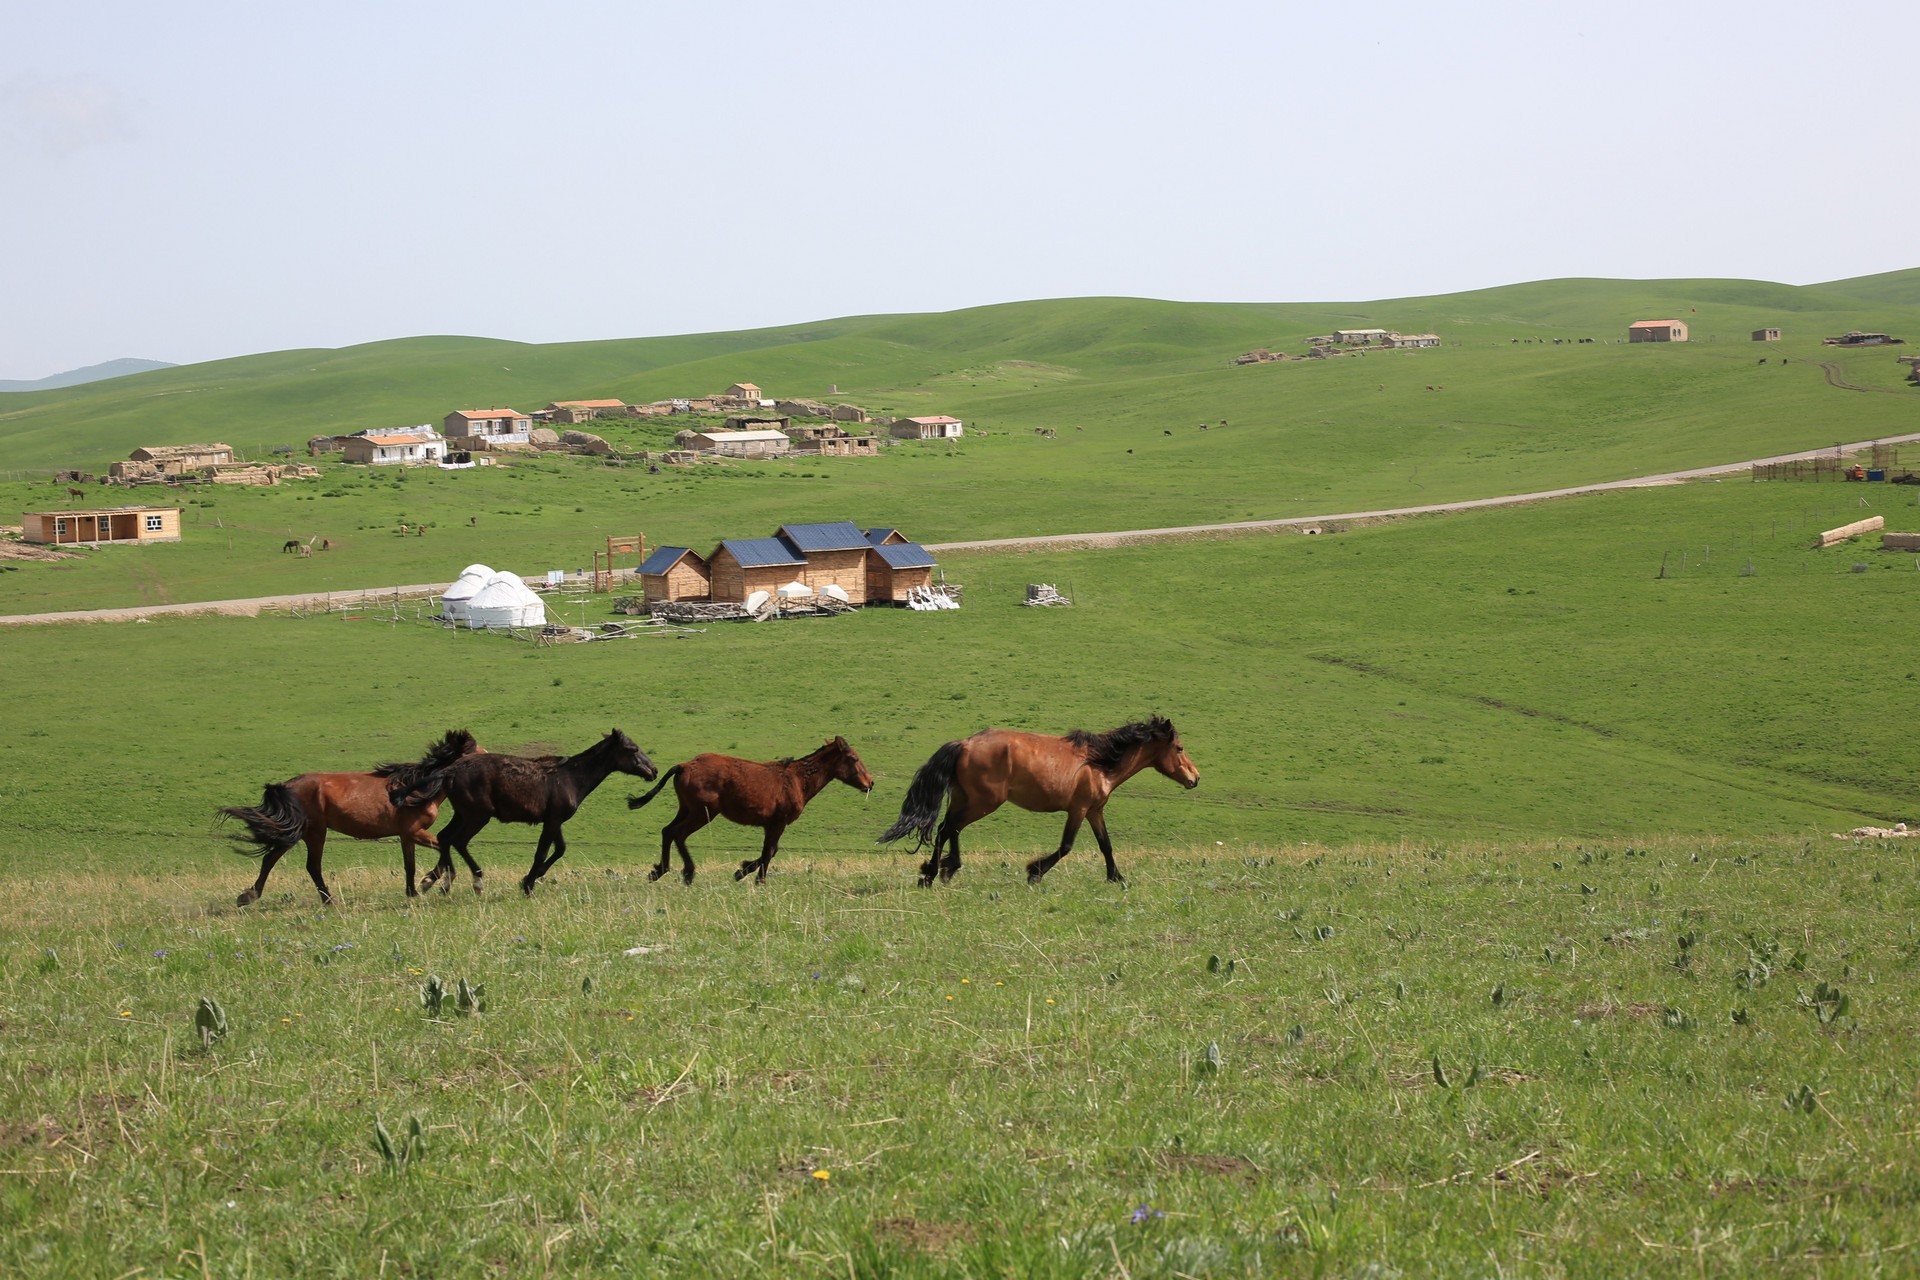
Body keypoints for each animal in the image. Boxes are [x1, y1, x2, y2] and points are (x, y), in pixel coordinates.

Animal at [219, 729, 483, 909]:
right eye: (478, 752)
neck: (415, 788)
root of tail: (287, 786)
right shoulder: (414, 832)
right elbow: (442, 848)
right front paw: (428, 882)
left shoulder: (407, 836)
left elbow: (411, 864)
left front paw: (415, 890)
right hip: (315, 832)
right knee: (311, 866)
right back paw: (329, 901)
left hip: (301, 832)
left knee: (270, 859)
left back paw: (248, 896)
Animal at [389, 725, 660, 898]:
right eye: (632, 749)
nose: (654, 771)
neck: (571, 777)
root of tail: (449, 771)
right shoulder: (552, 820)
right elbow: (542, 853)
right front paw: (528, 885)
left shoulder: (554, 820)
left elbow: (560, 850)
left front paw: (533, 877)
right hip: (478, 815)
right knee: (458, 840)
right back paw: (472, 881)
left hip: (463, 813)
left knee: (445, 837)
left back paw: (437, 882)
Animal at [625, 736, 875, 886]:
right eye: (854, 759)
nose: (870, 783)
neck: (796, 779)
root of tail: (685, 765)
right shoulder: (778, 823)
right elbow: (769, 852)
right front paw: (757, 879)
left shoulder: (771, 825)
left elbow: (770, 851)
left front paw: (743, 870)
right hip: (703, 813)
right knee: (678, 833)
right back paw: (688, 872)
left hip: (687, 809)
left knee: (667, 831)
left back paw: (660, 870)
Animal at [875, 721, 1198, 890]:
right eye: (1179, 748)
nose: (1195, 778)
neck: (1100, 763)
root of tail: (965, 743)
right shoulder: (1078, 810)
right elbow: (1066, 846)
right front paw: (1034, 871)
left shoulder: (1095, 811)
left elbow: (1106, 845)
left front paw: (1116, 878)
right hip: (984, 802)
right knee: (949, 828)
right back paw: (937, 872)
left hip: (965, 798)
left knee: (946, 828)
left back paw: (937, 871)